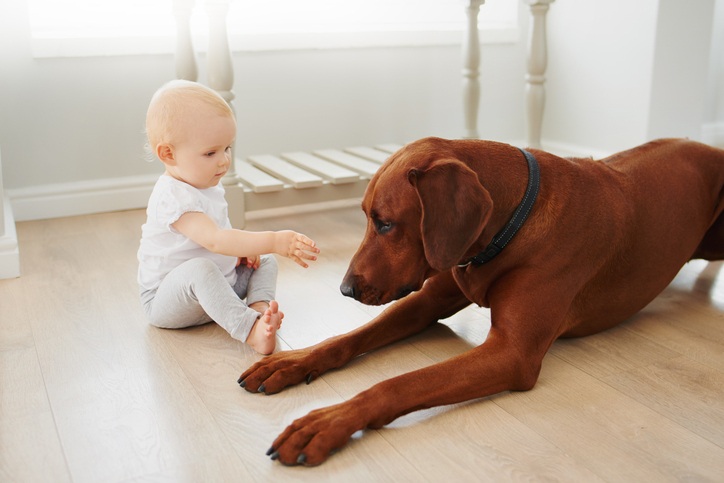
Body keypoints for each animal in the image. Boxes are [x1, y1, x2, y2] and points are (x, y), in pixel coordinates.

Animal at [239, 136, 724, 466]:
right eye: (368, 218)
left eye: (386, 223)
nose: (345, 290)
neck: (511, 223)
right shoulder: (428, 299)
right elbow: (348, 337)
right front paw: (292, 360)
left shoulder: (512, 353)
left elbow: (399, 384)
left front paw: (327, 421)